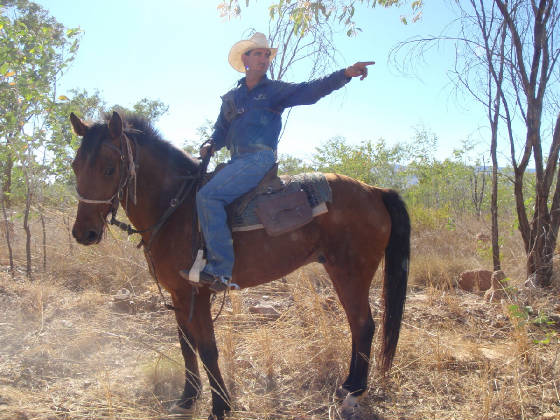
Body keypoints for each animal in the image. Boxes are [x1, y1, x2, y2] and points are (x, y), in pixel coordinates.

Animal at [71, 110, 412, 418]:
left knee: (364, 325)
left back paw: (354, 392)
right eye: (75, 166)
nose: (83, 233)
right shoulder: (178, 295)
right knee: (358, 325)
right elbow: (186, 346)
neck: (176, 208)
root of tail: (375, 191)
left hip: (351, 274)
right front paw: (187, 399)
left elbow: (208, 349)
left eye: (109, 169)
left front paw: (220, 407)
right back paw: (348, 386)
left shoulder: (197, 295)